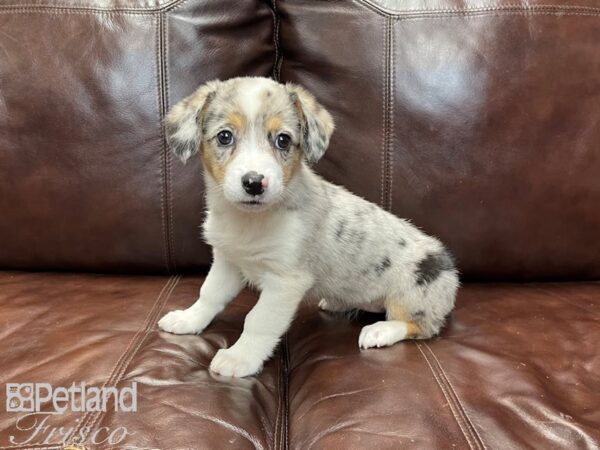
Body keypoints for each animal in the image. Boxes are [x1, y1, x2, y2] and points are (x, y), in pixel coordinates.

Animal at [157, 76, 458, 376]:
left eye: (283, 140)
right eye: (224, 136)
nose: (254, 183)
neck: (250, 220)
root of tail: (449, 267)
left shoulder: (284, 282)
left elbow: (258, 320)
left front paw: (240, 357)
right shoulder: (227, 262)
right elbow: (209, 294)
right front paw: (188, 319)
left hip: (411, 294)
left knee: (421, 326)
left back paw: (380, 331)